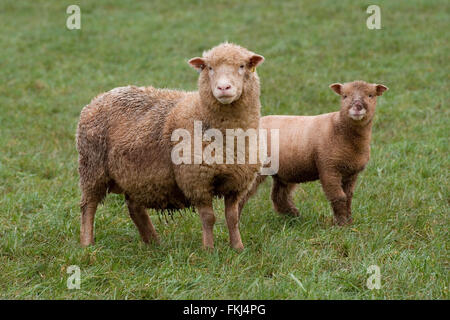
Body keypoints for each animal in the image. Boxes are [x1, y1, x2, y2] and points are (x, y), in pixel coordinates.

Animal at [76, 42, 266, 251]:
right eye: (209, 67)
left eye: (242, 66)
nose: (223, 87)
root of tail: (98, 98)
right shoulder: (196, 180)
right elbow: (208, 218)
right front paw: (208, 250)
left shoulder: (237, 183)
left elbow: (232, 218)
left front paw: (238, 247)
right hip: (93, 167)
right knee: (88, 206)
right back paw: (87, 243)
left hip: (135, 175)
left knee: (134, 208)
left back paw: (153, 242)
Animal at [237, 80, 388, 225]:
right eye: (344, 96)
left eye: (370, 95)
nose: (357, 107)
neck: (339, 130)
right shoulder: (328, 168)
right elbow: (339, 196)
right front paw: (341, 223)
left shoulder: (351, 172)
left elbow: (349, 196)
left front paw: (349, 220)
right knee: (242, 196)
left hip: (284, 171)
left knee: (278, 196)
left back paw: (294, 216)